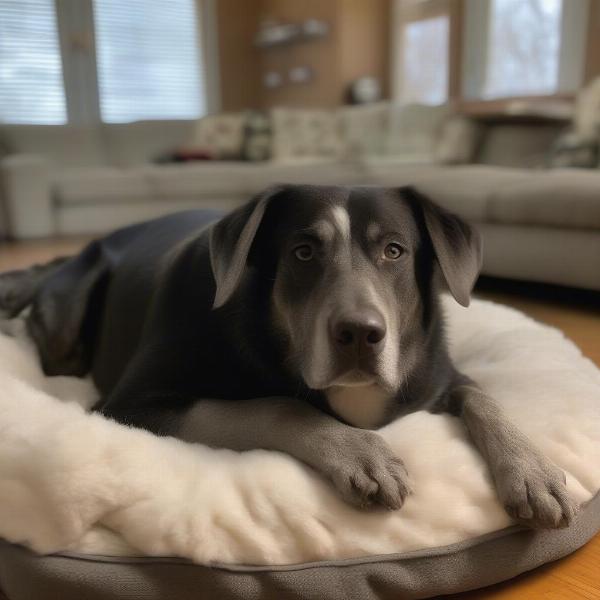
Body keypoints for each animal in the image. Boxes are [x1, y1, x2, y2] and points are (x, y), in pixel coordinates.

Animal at [0, 185, 576, 528]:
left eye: (394, 251)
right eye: (303, 253)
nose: (360, 334)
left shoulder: (438, 374)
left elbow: (485, 400)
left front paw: (533, 471)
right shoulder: (132, 404)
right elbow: (278, 405)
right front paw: (362, 453)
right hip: (67, 327)